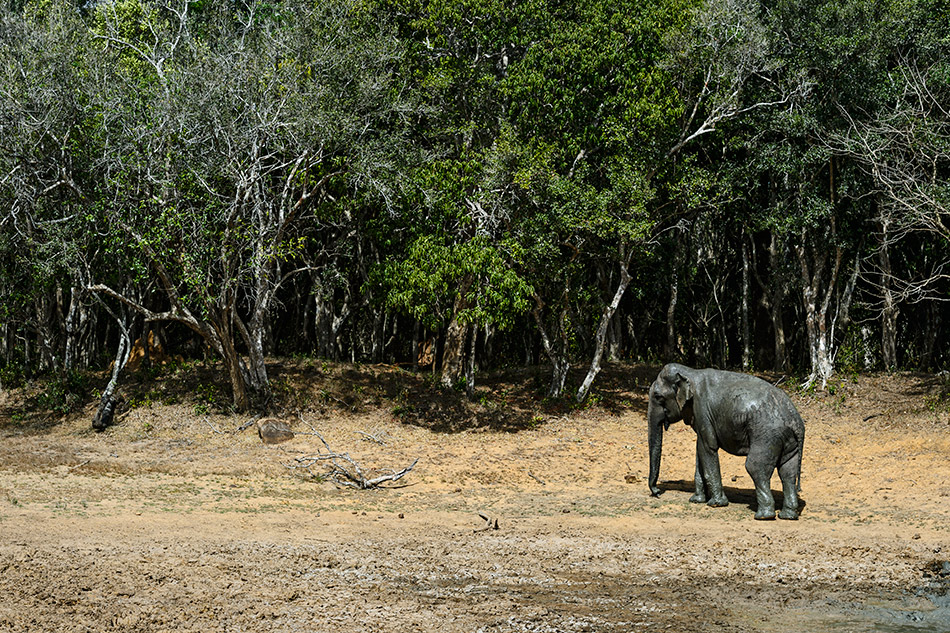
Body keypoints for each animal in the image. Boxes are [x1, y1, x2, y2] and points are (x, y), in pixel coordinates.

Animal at [648, 360, 804, 520]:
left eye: (658, 396)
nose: (658, 493)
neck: (690, 372)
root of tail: (796, 422)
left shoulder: (702, 409)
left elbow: (708, 447)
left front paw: (715, 504)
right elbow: (700, 449)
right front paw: (696, 500)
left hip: (767, 436)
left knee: (755, 467)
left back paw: (763, 516)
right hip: (788, 441)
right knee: (788, 472)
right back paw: (788, 516)